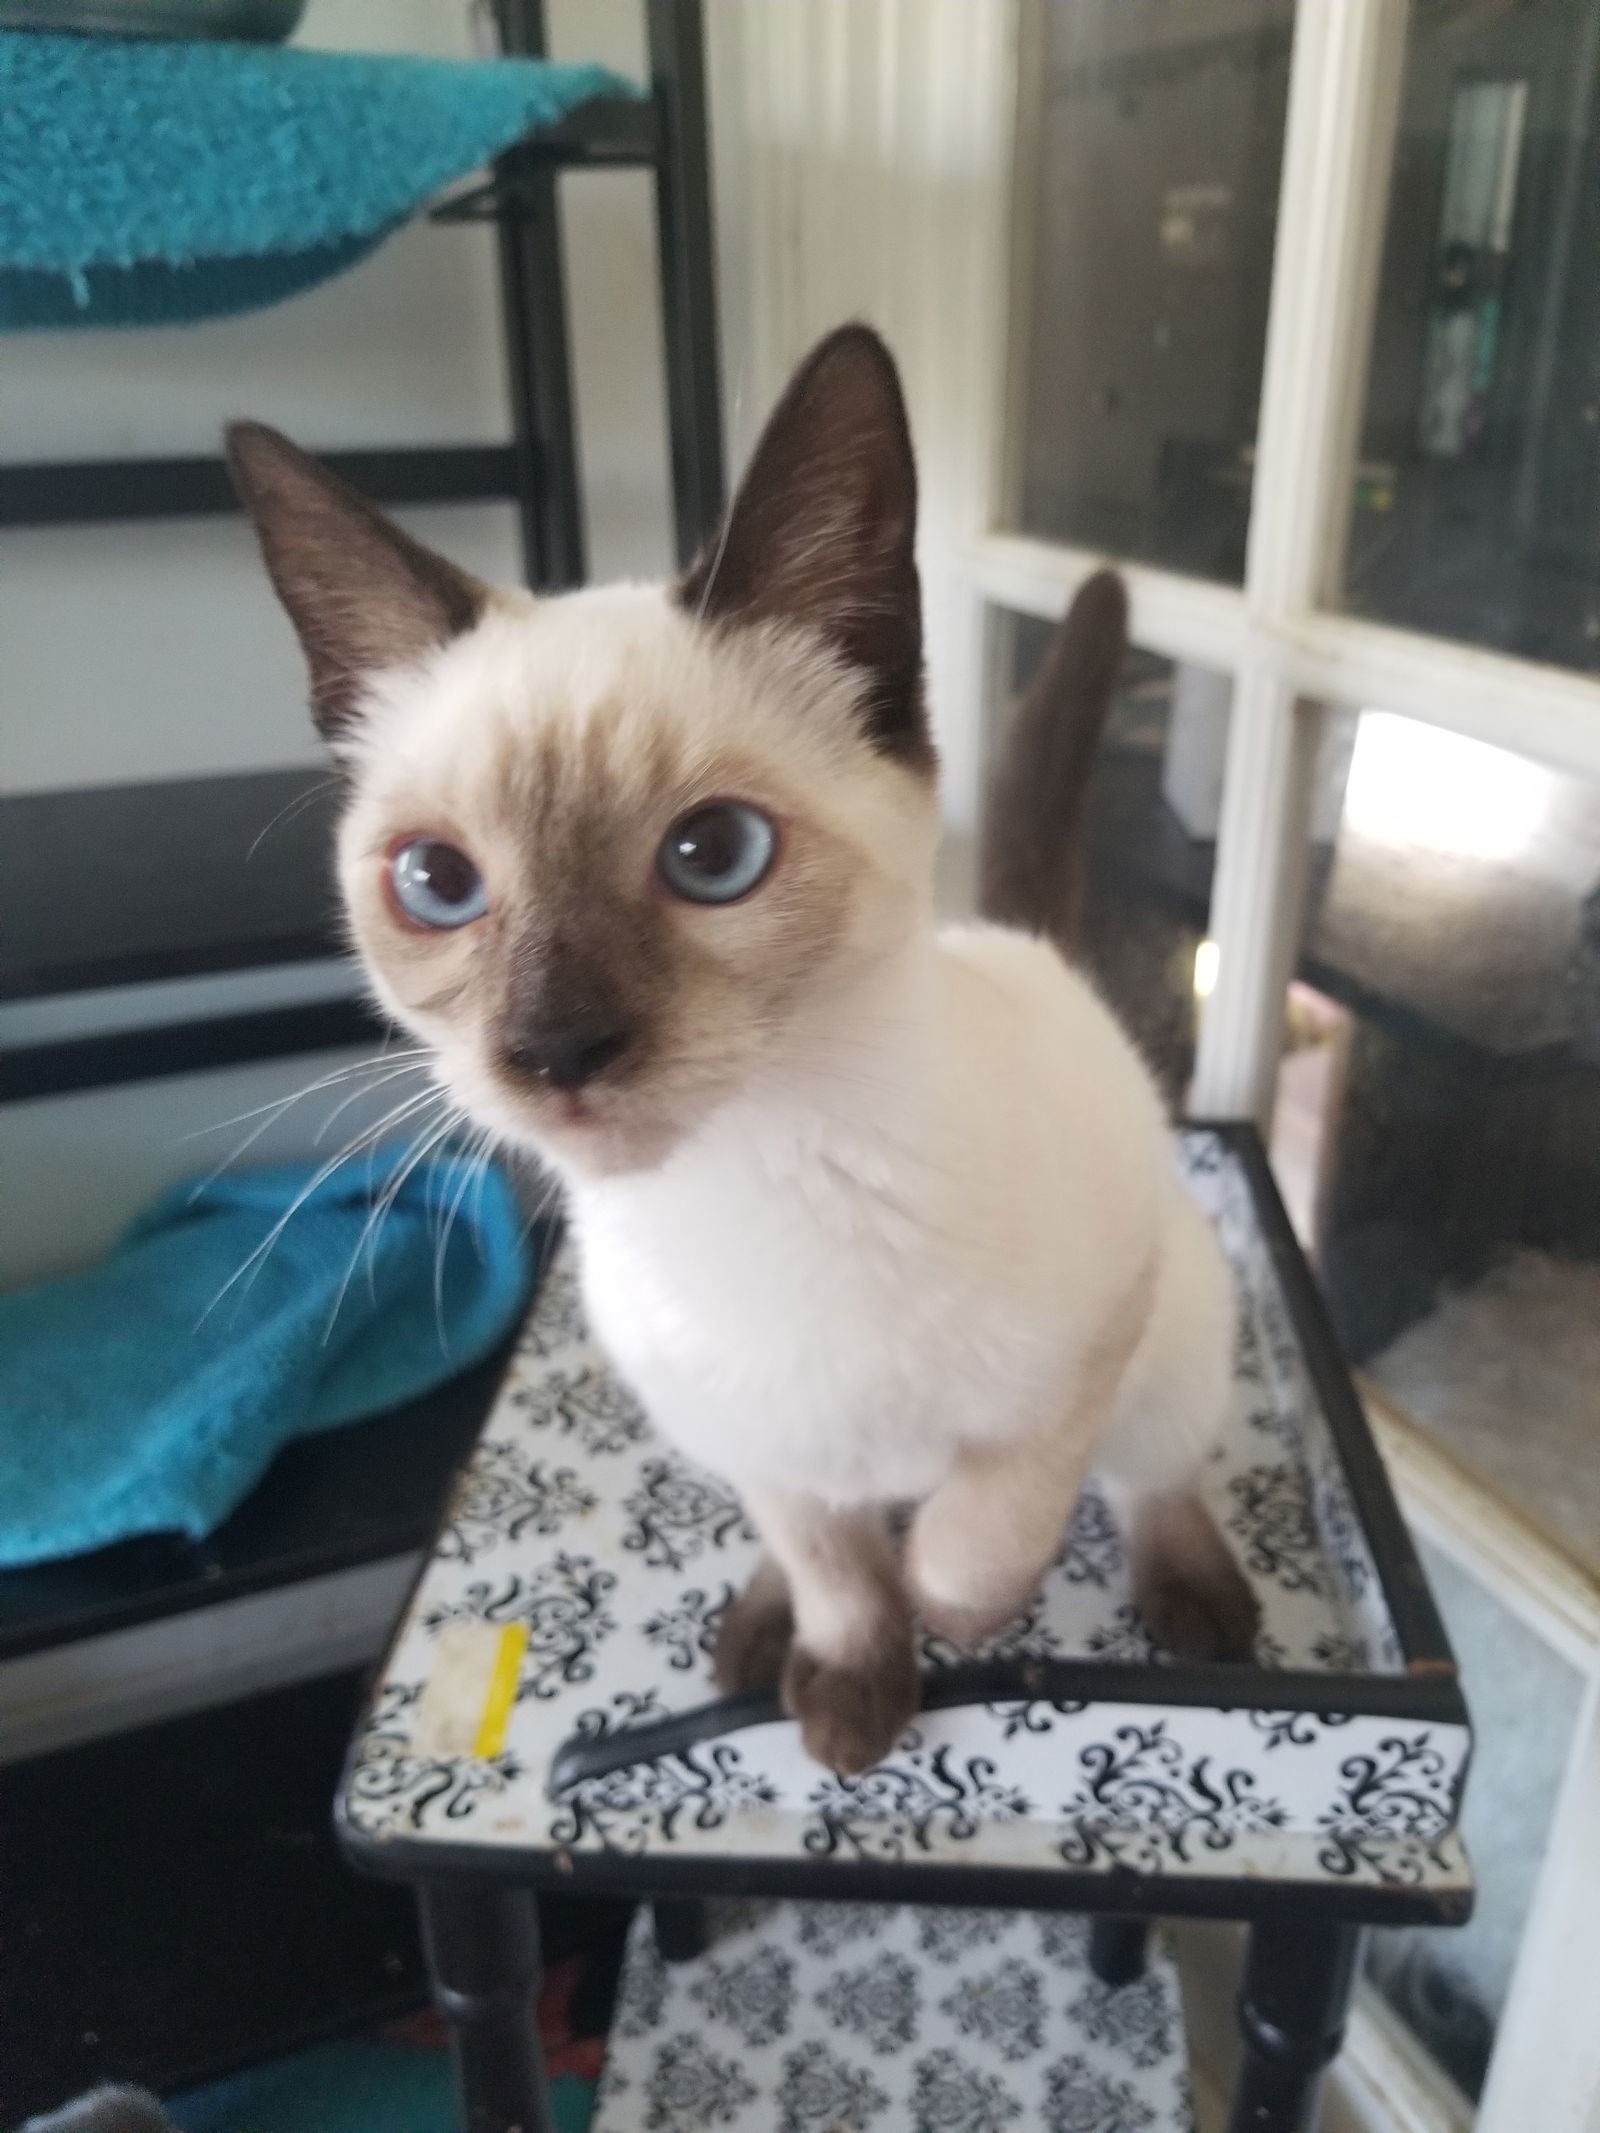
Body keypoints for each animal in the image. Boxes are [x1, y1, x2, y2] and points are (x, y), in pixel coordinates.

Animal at [226, 324, 1262, 1774]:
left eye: (713, 855)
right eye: (437, 882)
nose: (557, 1048)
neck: (757, 1180)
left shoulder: (1088, 1340)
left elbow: (979, 1538)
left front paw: (949, 1613)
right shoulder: (762, 1443)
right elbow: (838, 1566)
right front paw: (850, 1695)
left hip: (1178, 1330)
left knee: (1151, 1470)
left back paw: (1202, 1605)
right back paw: (765, 1638)